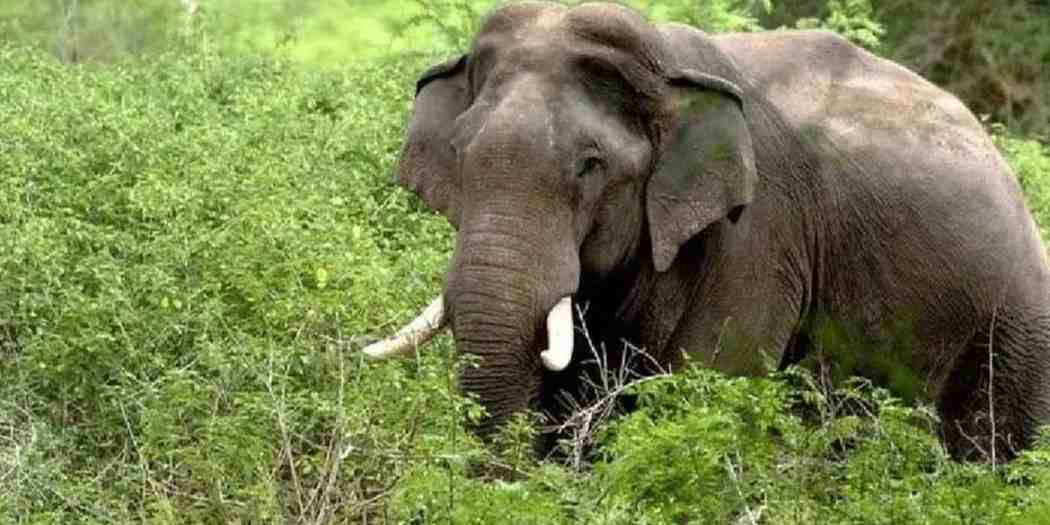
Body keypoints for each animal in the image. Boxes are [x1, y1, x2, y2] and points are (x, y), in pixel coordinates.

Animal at [365, 1, 1050, 461]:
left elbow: (706, 388)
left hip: (1019, 328)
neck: (666, 71)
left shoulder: (759, 235)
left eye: (591, 166)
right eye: (459, 153)